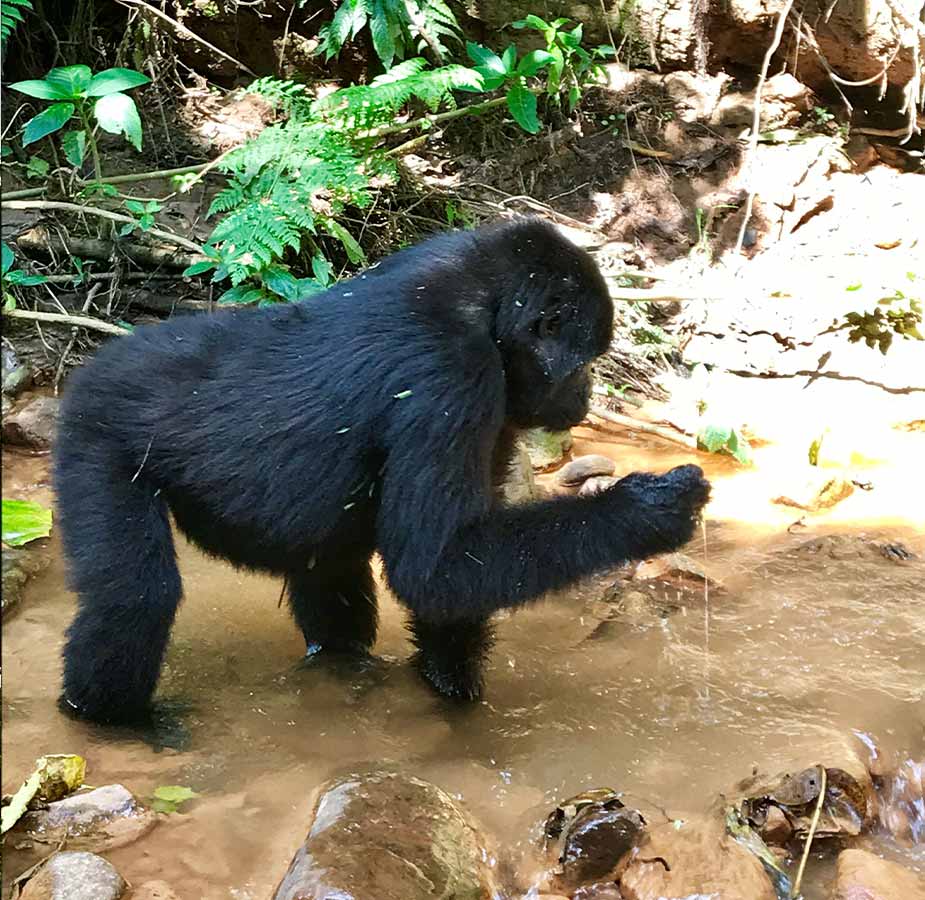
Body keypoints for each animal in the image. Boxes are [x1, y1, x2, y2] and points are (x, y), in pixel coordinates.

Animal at [54, 220, 712, 724]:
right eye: (584, 363)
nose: (586, 395)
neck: (486, 301)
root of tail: (94, 365)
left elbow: (457, 571)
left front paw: (451, 689)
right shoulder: (456, 374)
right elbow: (435, 566)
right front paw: (644, 510)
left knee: (330, 565)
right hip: (95, 433)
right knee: (136, 596)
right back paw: (108, 719)